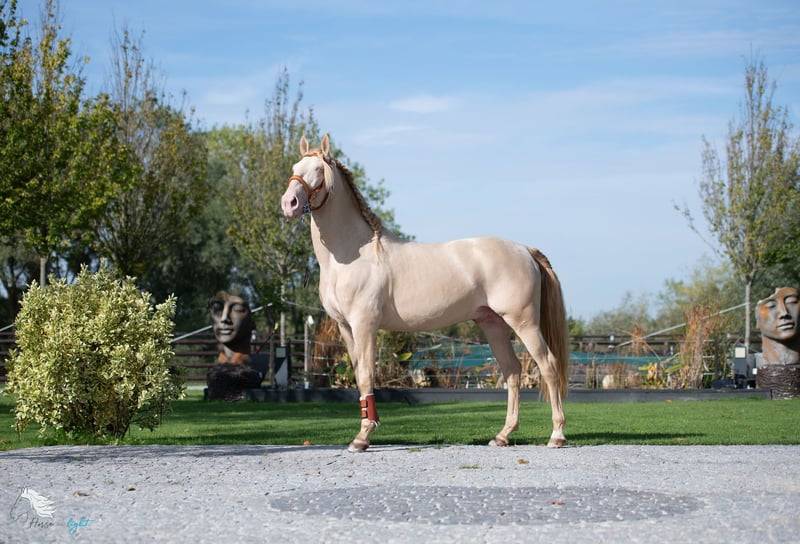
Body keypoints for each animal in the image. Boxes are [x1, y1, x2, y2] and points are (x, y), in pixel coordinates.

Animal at [280, 134, 569, 452]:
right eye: (294, 167)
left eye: (318, 170)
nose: (289, 203)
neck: (353, 255)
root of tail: (525, 250)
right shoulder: (345, 327)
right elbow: (358, 376)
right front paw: (364, 432)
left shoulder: (365, 325)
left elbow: (367, 375)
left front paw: (363, 437)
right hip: (492, 323)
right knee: (513, 372)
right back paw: (502, 435)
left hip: (524, 322)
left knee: (548, 366)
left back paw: (556, 435)